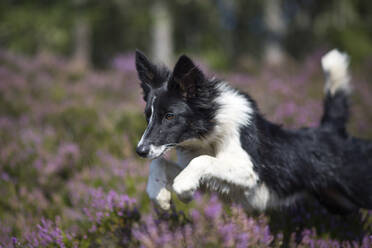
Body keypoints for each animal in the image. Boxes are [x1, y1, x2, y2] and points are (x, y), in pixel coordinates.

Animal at [135, 49, 372, 214]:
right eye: (148, 115)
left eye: (169, 116)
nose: (140, 151)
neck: (210, 132)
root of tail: (331, 130)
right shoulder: (212, 181)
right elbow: (160, 163)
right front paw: (160, 197)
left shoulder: (249, 171)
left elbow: (202, 160)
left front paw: (183, 189)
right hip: (339, 202)